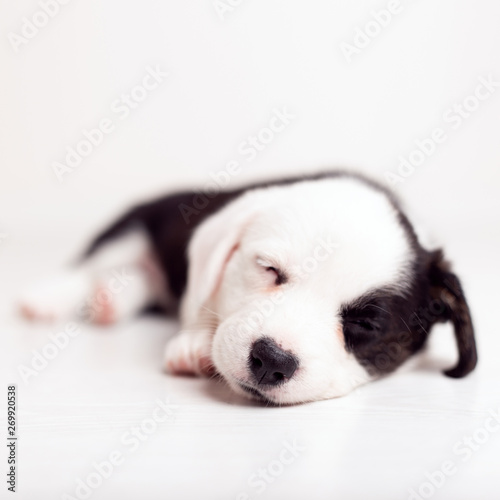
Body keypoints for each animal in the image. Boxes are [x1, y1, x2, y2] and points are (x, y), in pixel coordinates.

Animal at [19, 172, 478, 406]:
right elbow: (200, 293)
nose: (271, 360)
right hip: (135, 225)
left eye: (365, 324)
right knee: (92, 263)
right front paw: (194, 342)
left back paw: (113, 297)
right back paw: (49, 298)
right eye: (269, 270)